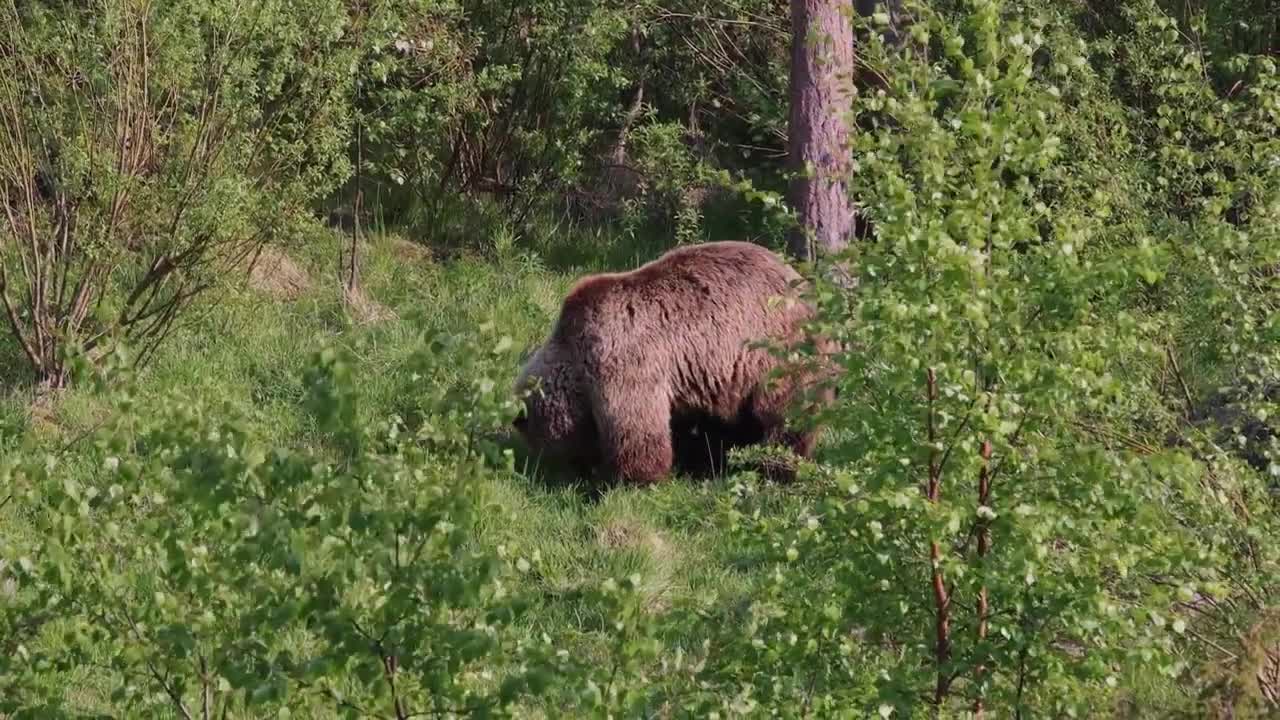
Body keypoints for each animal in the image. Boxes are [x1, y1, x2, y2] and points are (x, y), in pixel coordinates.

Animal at [514, 238, 834, 484]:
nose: (546, 469)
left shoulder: (624, 362)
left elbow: (638, 429)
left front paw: (628, 478)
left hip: (777, 352)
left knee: (786, 414)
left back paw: (778, 465)